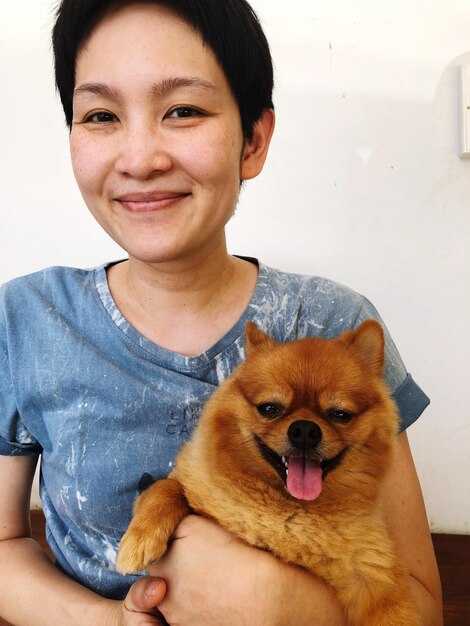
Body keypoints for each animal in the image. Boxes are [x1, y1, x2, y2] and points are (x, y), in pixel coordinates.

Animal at [116, 320, 418, 620]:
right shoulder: (187, 486)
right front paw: (138, 542)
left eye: (340, 414)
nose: (305, 430)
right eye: (270, 408)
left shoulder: (374, 580)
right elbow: (166, 487)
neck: (288, 514)